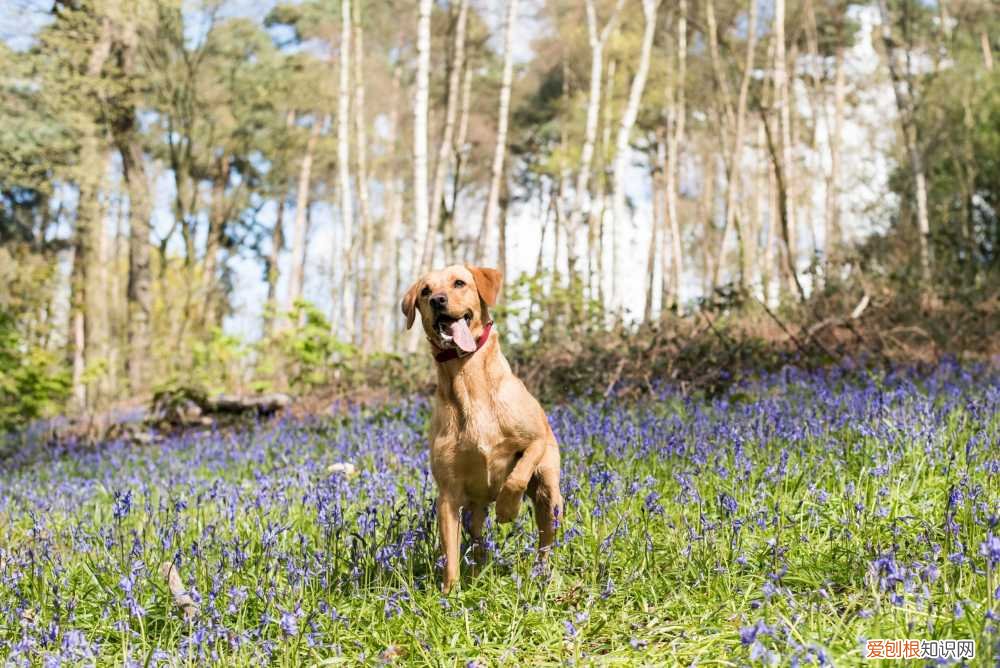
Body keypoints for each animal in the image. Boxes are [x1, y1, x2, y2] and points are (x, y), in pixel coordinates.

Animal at [400, 264, 564, 592]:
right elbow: (450, 555)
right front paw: (450, 594)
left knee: (545, 543)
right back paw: (478, 577)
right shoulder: (448, 495)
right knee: (478, 545)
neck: (469, 382)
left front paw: (508, 509)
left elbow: (517, 475)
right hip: (473, 511)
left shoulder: (536, 439)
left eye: (458, 283)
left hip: (550, 495)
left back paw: (542, 575)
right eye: (425, 290)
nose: (437, 300)